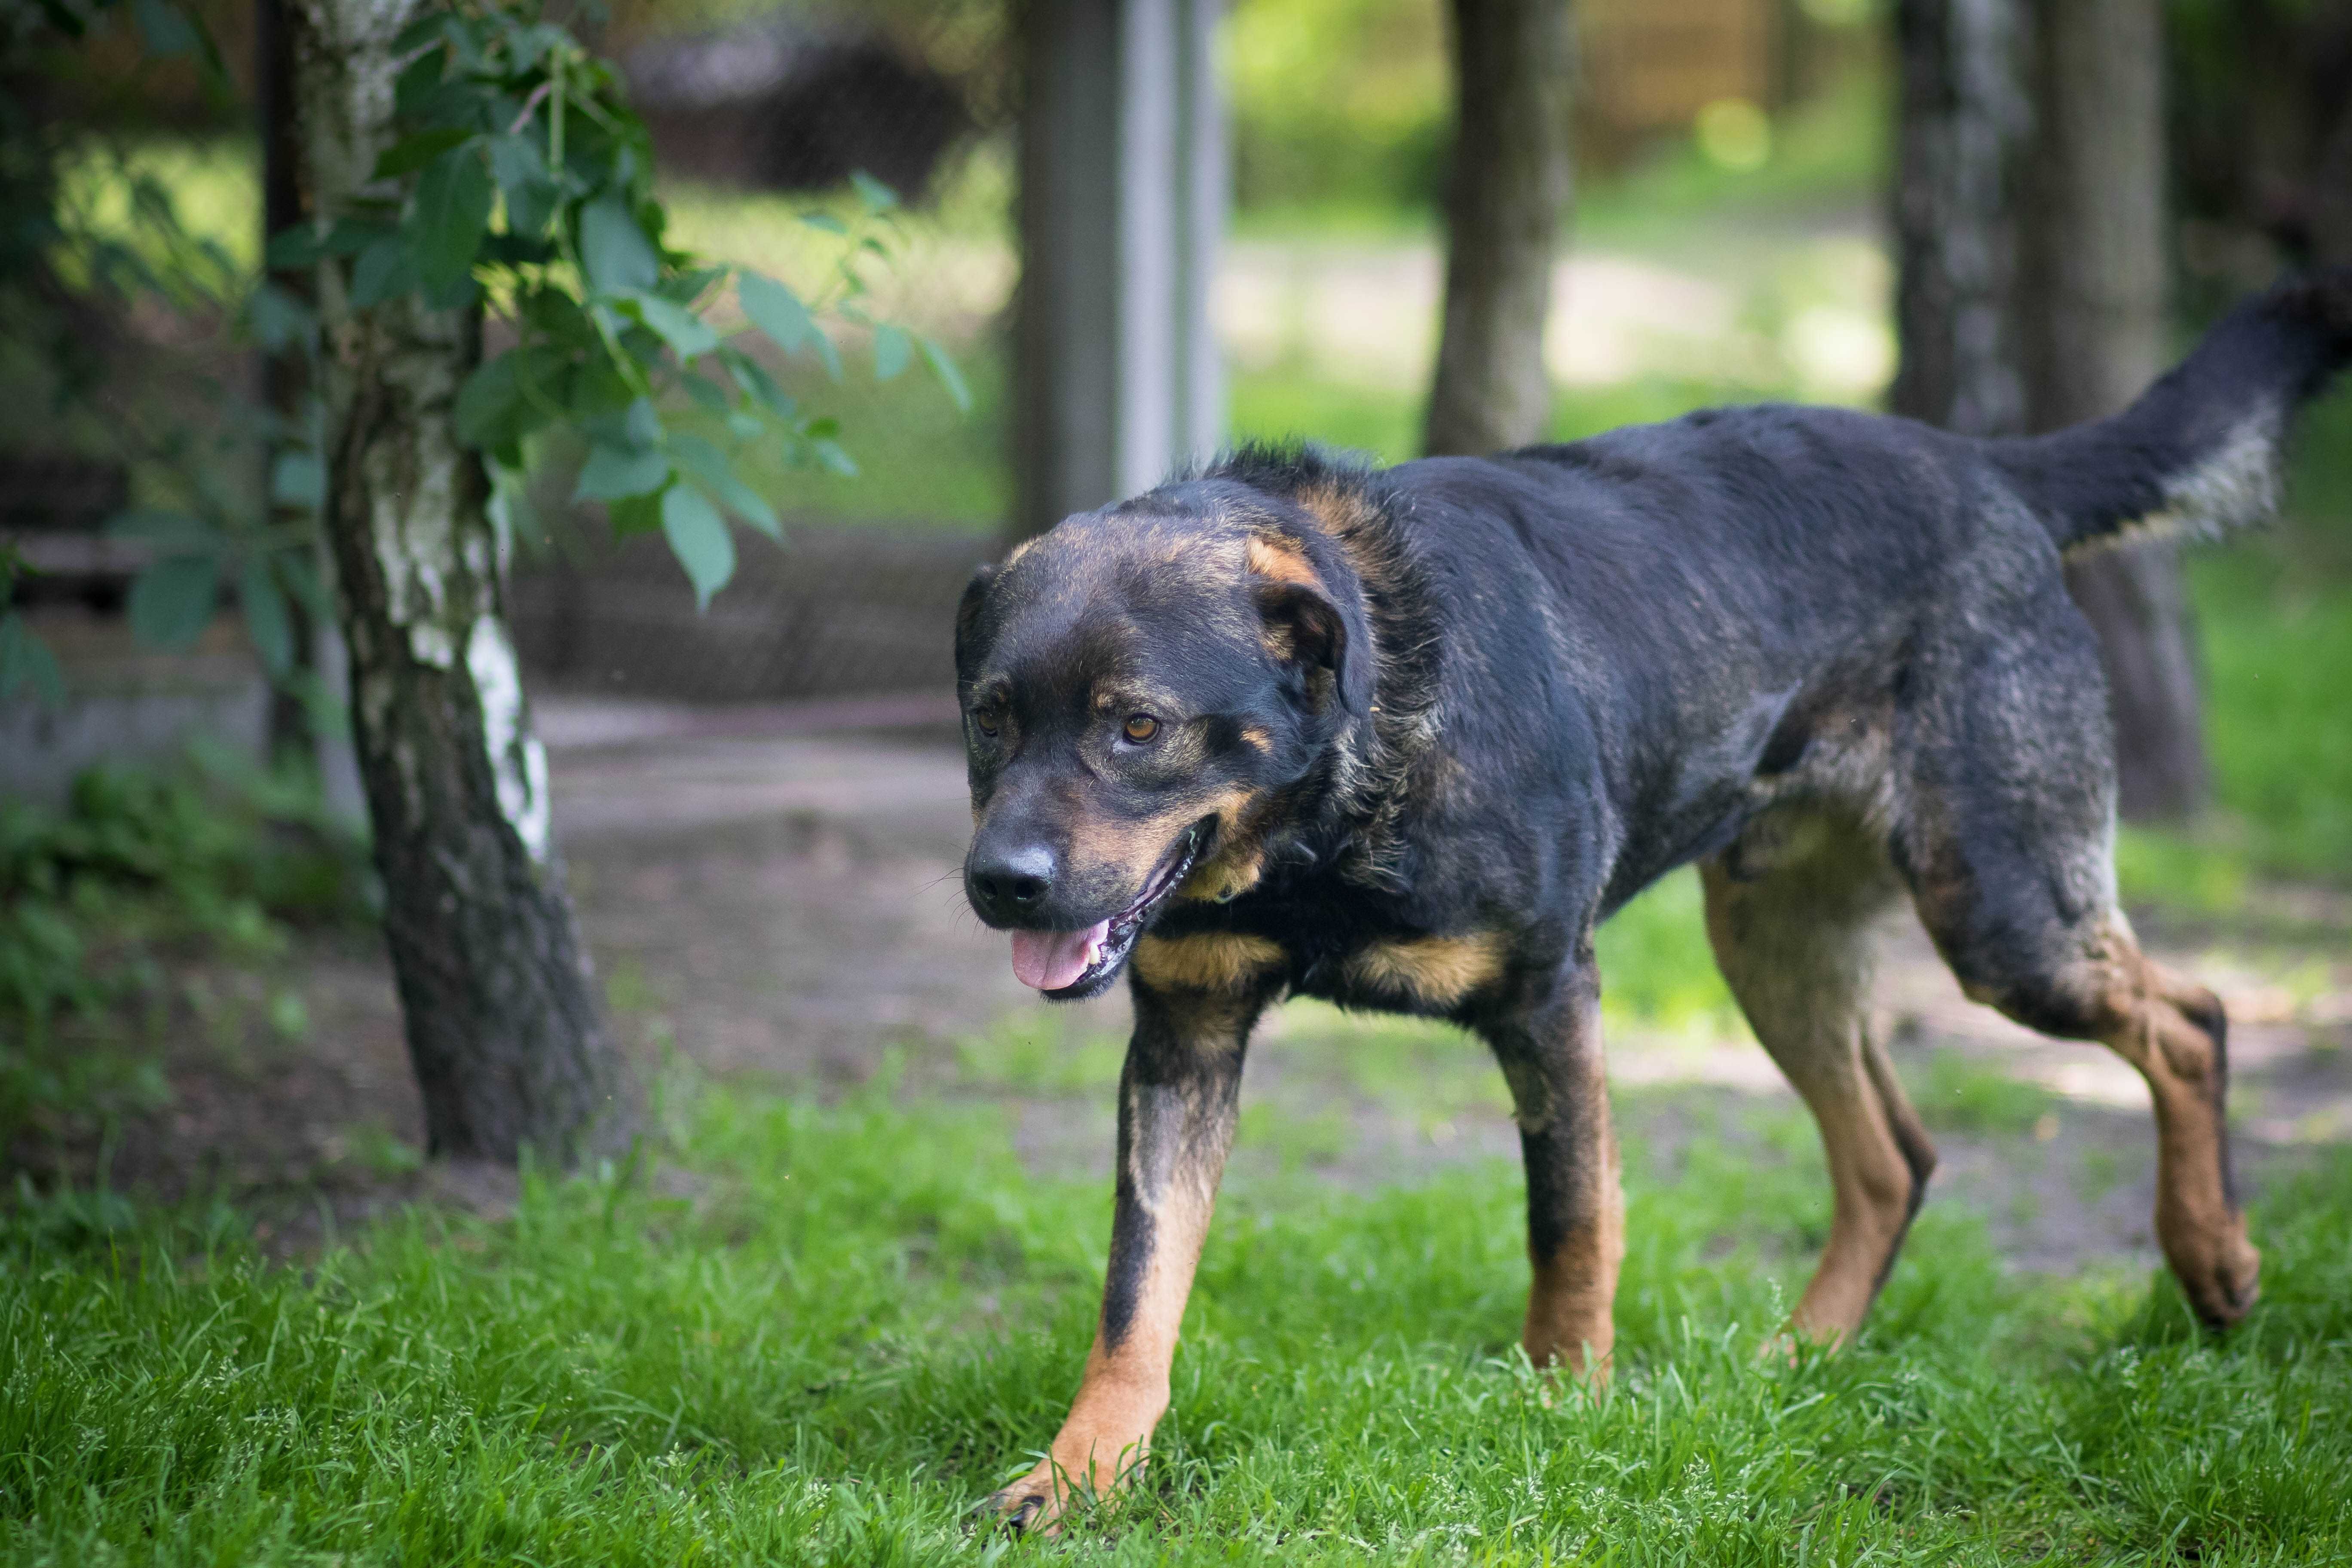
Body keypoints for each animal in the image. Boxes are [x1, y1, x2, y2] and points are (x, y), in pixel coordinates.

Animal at [950, 273, 2352, 1532]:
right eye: (988, 719)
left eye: (1137, 728)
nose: (997, 884)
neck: (1329, 819)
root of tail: (1991, 473)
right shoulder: (1185, 1035)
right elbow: (1137, 1287)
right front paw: (1080, 1473)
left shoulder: (1548, 997)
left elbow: (1572, 1221)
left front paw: (1563, 1412)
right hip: (1775, 943)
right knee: (1893, 1154)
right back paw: (1796, 1363)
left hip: (2005, 917)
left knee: (2190, 1018)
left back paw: (2213, 1261)